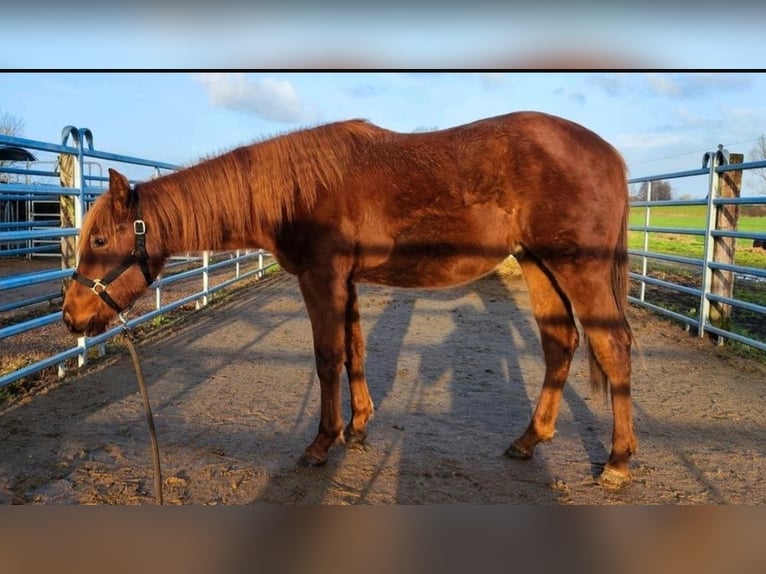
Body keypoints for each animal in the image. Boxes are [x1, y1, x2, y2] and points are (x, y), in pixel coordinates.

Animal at [60, 112, 640, 490]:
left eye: (99, 239)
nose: (71, 316)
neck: (296, 189)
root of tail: (610, 153)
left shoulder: (322, 279)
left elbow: (327, 358)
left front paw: (322, 443)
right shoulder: (349, 282)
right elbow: (355, 351)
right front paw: (358, 427)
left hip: (579, 268)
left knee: (612, 347)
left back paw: (617, 462)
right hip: (539, 264)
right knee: (560, 343)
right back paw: (529, 439)